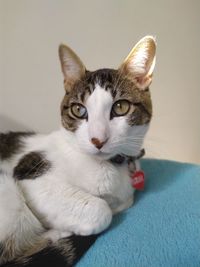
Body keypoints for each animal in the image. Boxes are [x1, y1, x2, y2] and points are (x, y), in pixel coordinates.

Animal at [0, 36, 156, 267]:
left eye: (120, 107)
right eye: (78, 110)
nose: (98, 140)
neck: (106, 167)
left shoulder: (126, 196)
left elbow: (121, 203)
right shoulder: (30, 172)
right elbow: (102, 210)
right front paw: (61, 231)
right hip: (9, 193)